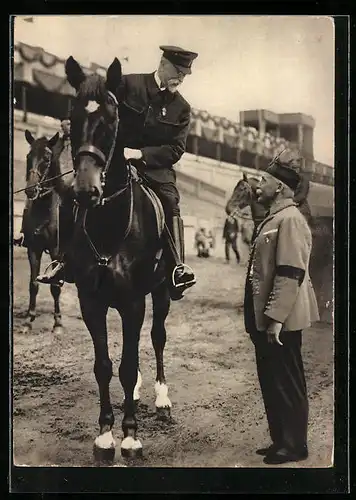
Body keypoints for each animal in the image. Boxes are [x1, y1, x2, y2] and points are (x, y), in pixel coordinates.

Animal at [15, 132, 67, 336]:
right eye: (29, 157)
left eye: (46, 159)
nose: (30, 190)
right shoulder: (33, 249)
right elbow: (33, 284)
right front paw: (29, 321)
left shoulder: (56, 251)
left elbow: (55, 287)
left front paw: (58, 323)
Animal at [52, 55, 174, 460]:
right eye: (72, 119)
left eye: (110, 120)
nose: (86, 190)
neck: (110, 225)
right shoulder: (92, 301)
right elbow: (105, 365)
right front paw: (106, 434)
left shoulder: (134, 301)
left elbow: (130, 362)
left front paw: (131, 436)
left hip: (162, 293)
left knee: (157, 337)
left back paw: (162, 398)